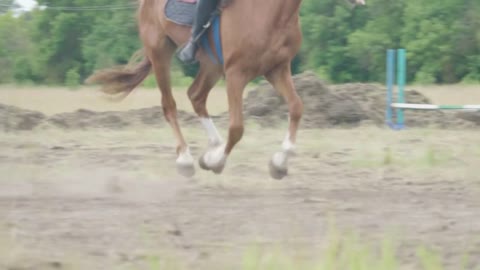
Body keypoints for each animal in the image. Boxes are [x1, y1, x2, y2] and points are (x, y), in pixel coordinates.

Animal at [86, 0, 366, 179]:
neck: (271, 11)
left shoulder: (277, 69)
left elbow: (297, 107)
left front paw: (279, 162)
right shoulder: (236, 74)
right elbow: (237, 128)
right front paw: (216, 161)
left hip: (211, 64)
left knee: (196, 95)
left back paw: (213, 144)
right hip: (160, 52)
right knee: (170, 105)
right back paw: (186, 159)